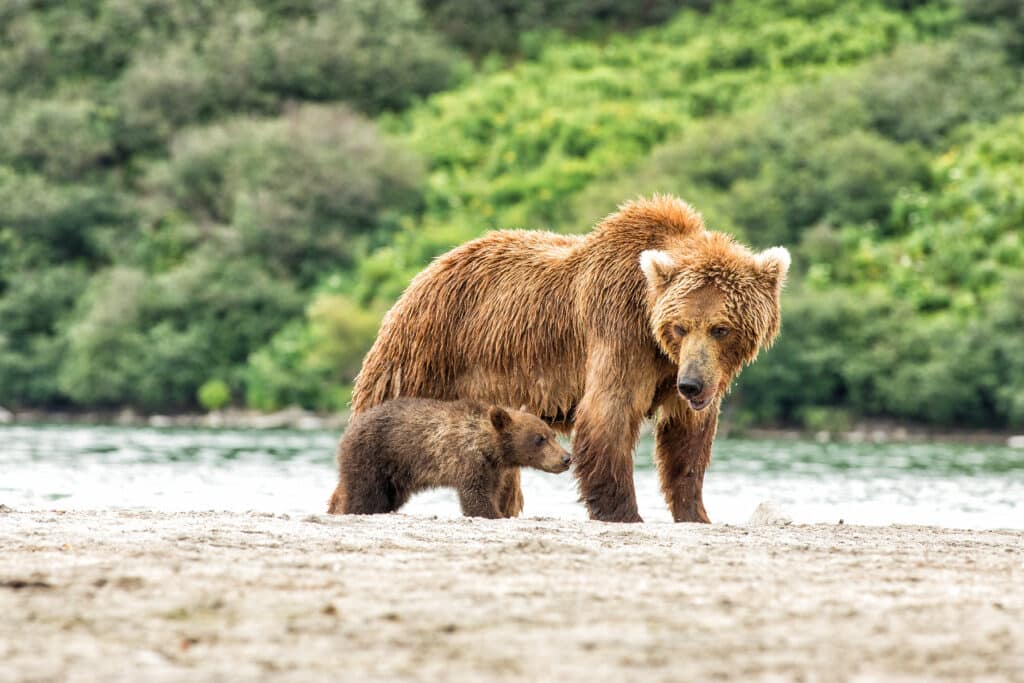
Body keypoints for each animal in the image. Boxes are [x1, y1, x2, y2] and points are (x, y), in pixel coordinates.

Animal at [327, 398, 571, 518]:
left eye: (552, 434)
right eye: (539, 439)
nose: (566, 458)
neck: (489, 447)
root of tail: (350, 426)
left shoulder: (493, 470)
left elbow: (491, 491)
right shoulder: (468, 460)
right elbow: (476, 497)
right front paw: (496, 514)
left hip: (396, 477)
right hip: (373, 456)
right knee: (364, 494)